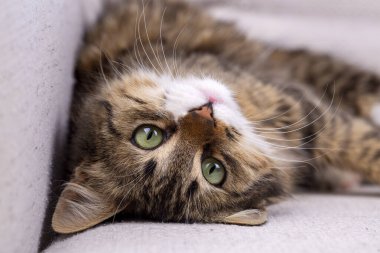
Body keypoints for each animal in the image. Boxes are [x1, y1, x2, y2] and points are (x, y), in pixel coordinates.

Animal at [51, 0, 380, 233]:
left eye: (147, 135)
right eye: (213, 169)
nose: (206, 112)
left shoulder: (298, 104)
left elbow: (360, 144)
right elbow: (364, 144)